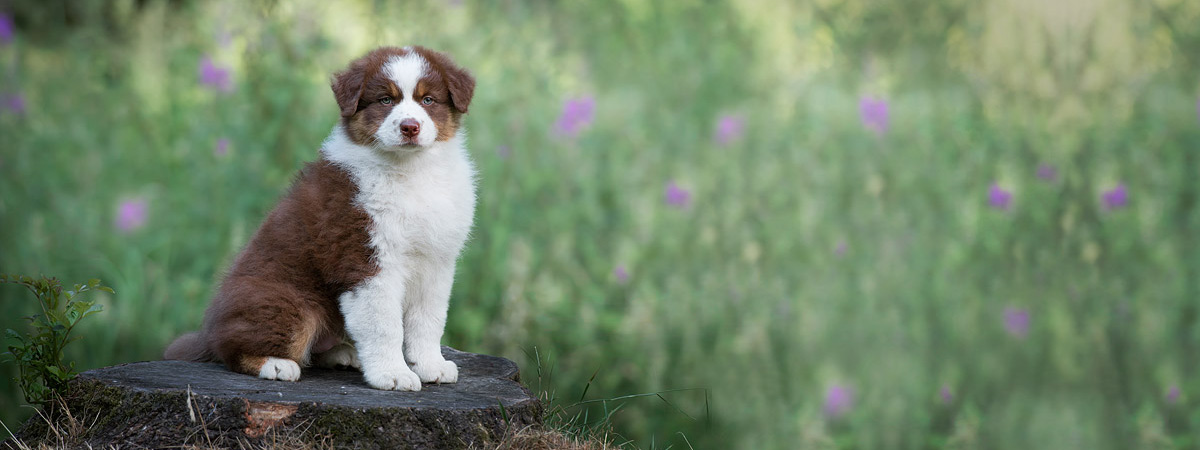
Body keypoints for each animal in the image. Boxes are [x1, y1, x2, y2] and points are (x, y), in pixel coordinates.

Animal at [163, 45, 477, 391]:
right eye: (385, 100)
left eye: (428, 100)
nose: (410, 127)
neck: (410, 170)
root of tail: (207, 332)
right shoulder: (365, 259)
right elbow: (385, 325)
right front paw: (393, 374)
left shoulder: (436, 262)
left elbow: (428, 320)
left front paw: (431, 366)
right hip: (288, 302)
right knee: (233, 348)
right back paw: (275, 364)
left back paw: (342, 353)